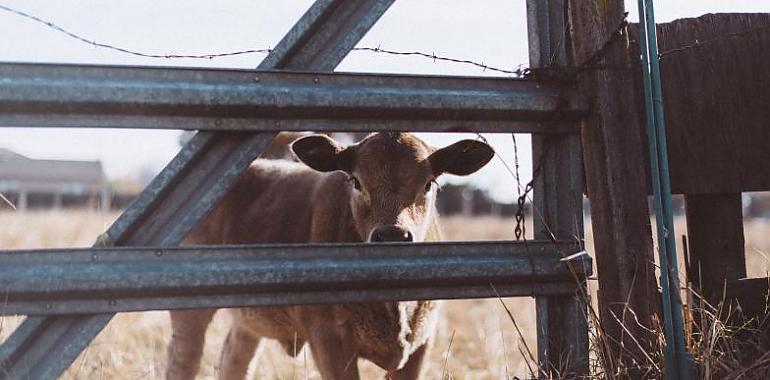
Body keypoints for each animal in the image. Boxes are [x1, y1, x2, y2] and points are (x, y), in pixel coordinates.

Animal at [166, 132, 496, 378]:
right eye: (356, 181)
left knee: (235, 359)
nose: (392, 236)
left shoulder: (421, 343)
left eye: (428, 183)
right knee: (184, 360)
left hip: (249, 321)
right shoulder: (328, 339)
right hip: (189, 312)